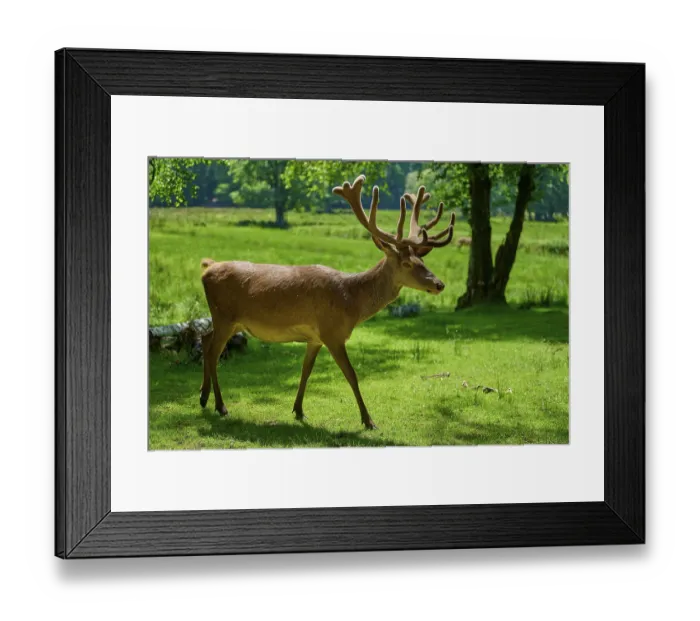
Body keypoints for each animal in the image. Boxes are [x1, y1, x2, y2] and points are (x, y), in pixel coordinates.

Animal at [198, 175, 456, 430]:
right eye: (407, 264)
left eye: (422, 260)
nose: (439, 284)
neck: (352, 303)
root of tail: (207, 269)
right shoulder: (333, 332)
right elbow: (351, 375)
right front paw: (368, 420)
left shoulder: (315, 337)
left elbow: (306, 370)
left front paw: (299, 410)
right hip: (224, 316)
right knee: (213, 353)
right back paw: (220, 406)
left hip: (228, 320)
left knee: (205, 338)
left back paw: (203, 396)